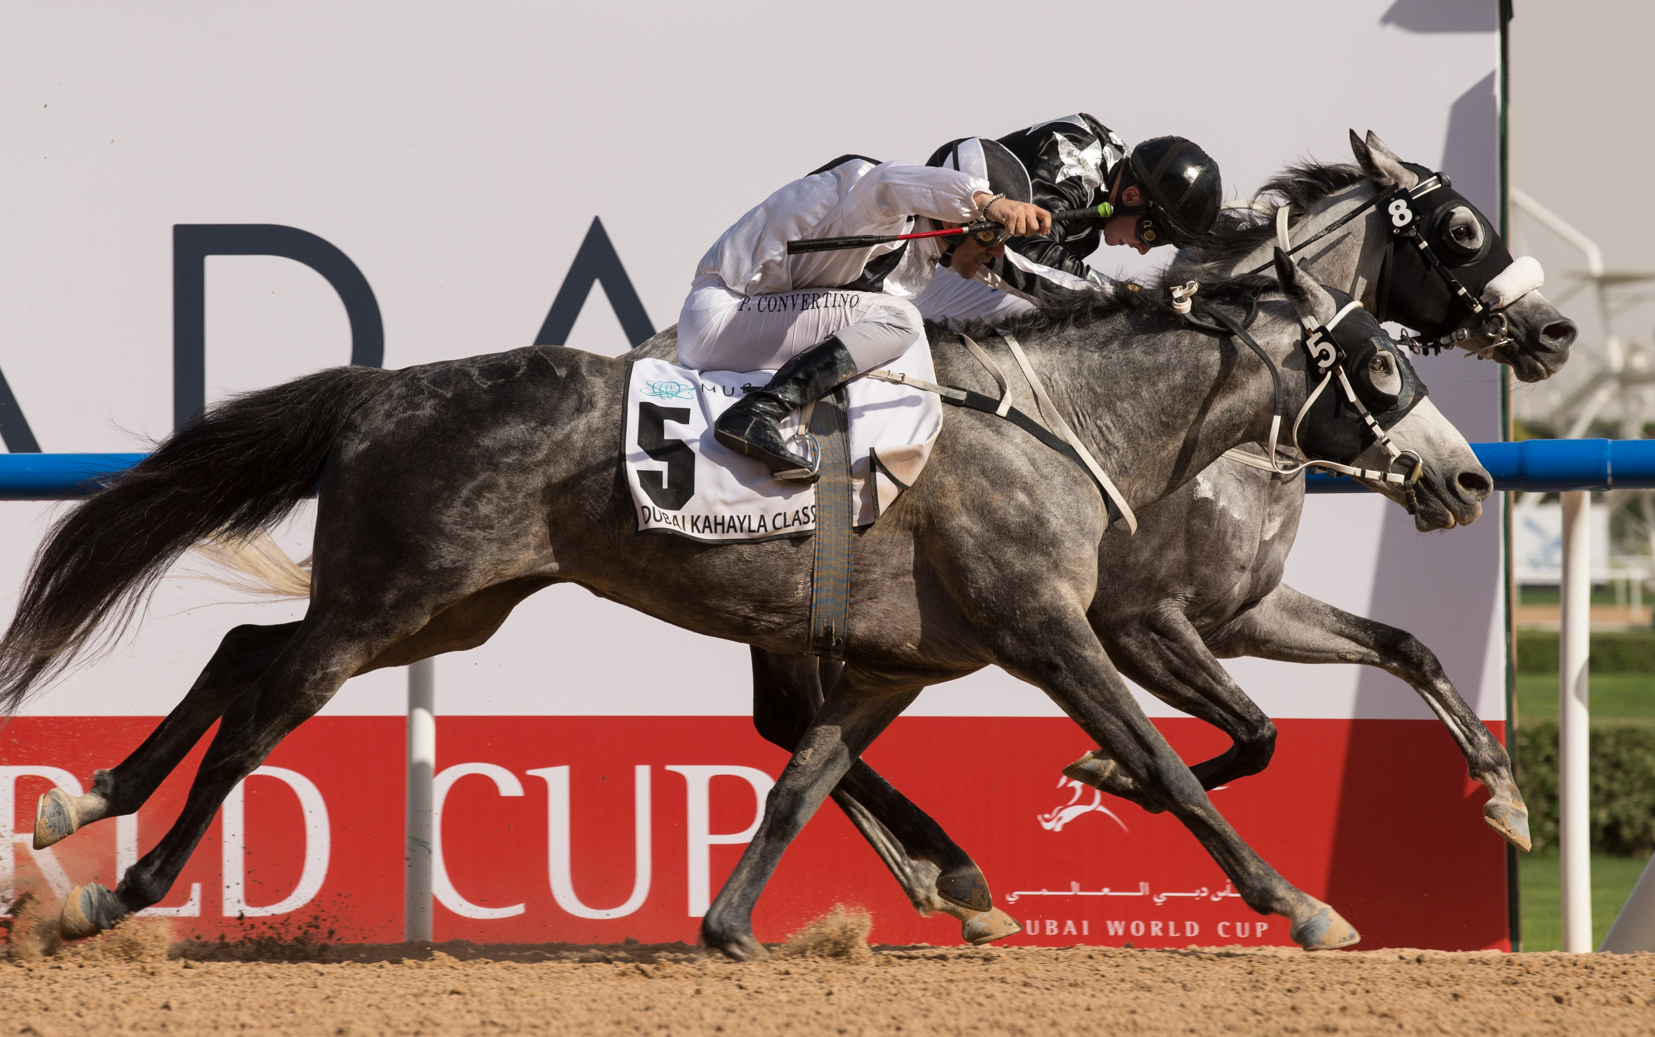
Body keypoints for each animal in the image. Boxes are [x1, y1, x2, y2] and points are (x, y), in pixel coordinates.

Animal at [6, 253, 1489, 965]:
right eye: (1374, 362)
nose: (1467, 475)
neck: (1059, 426)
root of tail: (382, 388)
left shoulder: (900, 662)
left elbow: (803, 775)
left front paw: (736, 923)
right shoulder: (1054, 631)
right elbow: (1171, 767)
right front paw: (1298, 905)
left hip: (441, 608)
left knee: (243, 648)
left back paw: (82, 800)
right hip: (390, 601)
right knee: (263, 705)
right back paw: (119, 884)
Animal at [622, 133, 1575, 946]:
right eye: (1461, 229)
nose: (1555, 332)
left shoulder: (1242, 611)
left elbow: (1393, 654)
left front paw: (1505, 796)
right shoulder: (1136, 622)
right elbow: (1250, 729)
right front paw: (1114, 774)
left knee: (799, 725)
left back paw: (942, 884)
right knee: (791, 720)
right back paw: (947, 880)